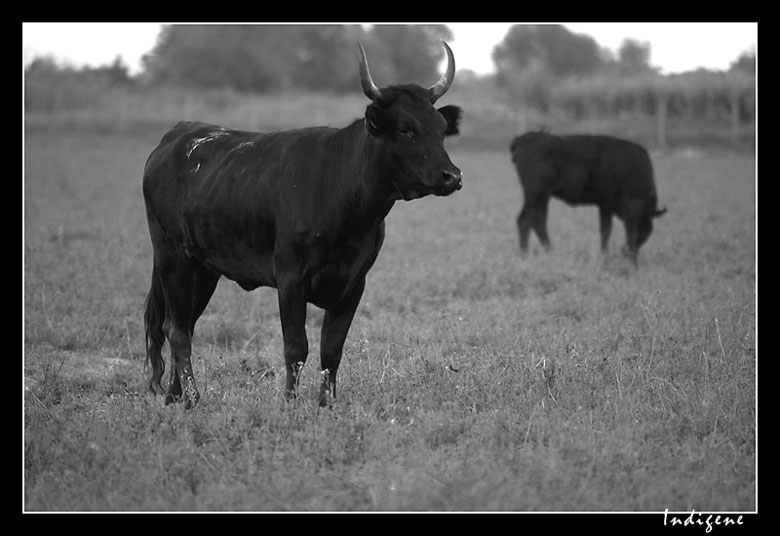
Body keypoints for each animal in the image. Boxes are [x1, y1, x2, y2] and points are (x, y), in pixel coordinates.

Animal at [142, 42, 460, 408]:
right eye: (406, 129)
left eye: (441, 129)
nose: (452, 176)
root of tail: (179, 132)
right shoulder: (290, 278)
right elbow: (296, 348)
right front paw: (290, 404)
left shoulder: (354, 283)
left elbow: (331, 349)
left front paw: (327, 405)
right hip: (173, 258)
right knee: (177, 330)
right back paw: (193, 398)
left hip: (204, 269)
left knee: (181, 323)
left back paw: (173, 397)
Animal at [508, 130, 668, 264]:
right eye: (646, 228)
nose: (624, 252)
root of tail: (524, 138)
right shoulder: (630, 209)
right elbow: (629, 232)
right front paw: (631, 262)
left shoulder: (605, 205)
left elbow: (606, 230)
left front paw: (605, 255)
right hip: (535, 195)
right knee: (525, 220)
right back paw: (524, 255)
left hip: (543, 197)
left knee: (538, 222)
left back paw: (550, 252)